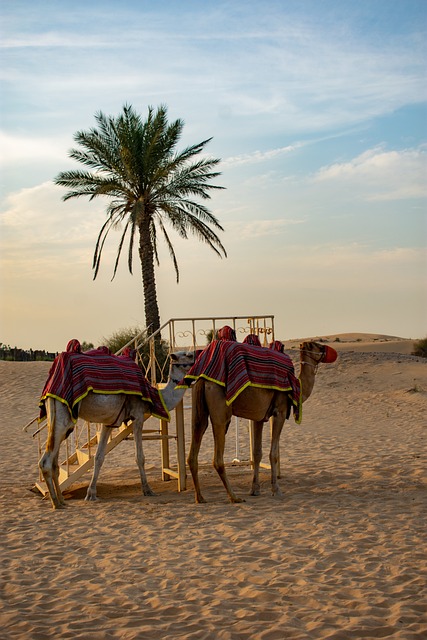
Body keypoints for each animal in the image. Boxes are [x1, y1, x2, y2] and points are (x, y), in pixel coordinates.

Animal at [39, 350, 194, 510]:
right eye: (188, 355)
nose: (197, 354)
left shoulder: (109, 423)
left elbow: (98, 457)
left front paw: (91, 494)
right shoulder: (138, 415)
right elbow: (140, 457)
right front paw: (148, 490)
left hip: (57, 420)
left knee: (55, 464)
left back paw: (62, 500)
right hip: (63, 417)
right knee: (45, 462)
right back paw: (56, 503)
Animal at [187, 342, 338, 502]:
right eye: (318, 345)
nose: (330, 351)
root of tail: (204, 379)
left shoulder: (258, 417)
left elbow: (257, 453)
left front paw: (255, 489)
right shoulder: (280, 412)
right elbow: (273, 453)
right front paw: (276, 489)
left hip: (198, 410)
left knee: (194, 448)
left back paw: (200, 497)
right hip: (221, 413)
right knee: (217, 459)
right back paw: (234, 497)